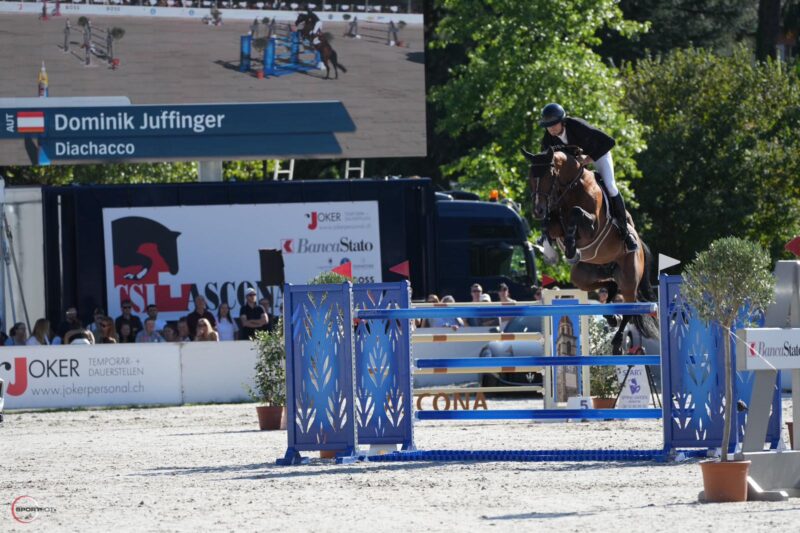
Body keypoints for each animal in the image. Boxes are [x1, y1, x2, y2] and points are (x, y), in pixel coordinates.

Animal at [524, 145, 656, 354]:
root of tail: (641, 245)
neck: (571, 189)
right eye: (530, 176)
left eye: (549, 175)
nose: (538, 210)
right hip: (582, 276)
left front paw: (570, 248)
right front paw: (554, 252)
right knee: (611, 285)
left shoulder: (592, 227)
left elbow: (576, 213)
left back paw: (617, 341)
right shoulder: (556, 223)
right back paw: (610, 317)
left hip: (629, 277)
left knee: (630, 306)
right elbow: (550, 224)